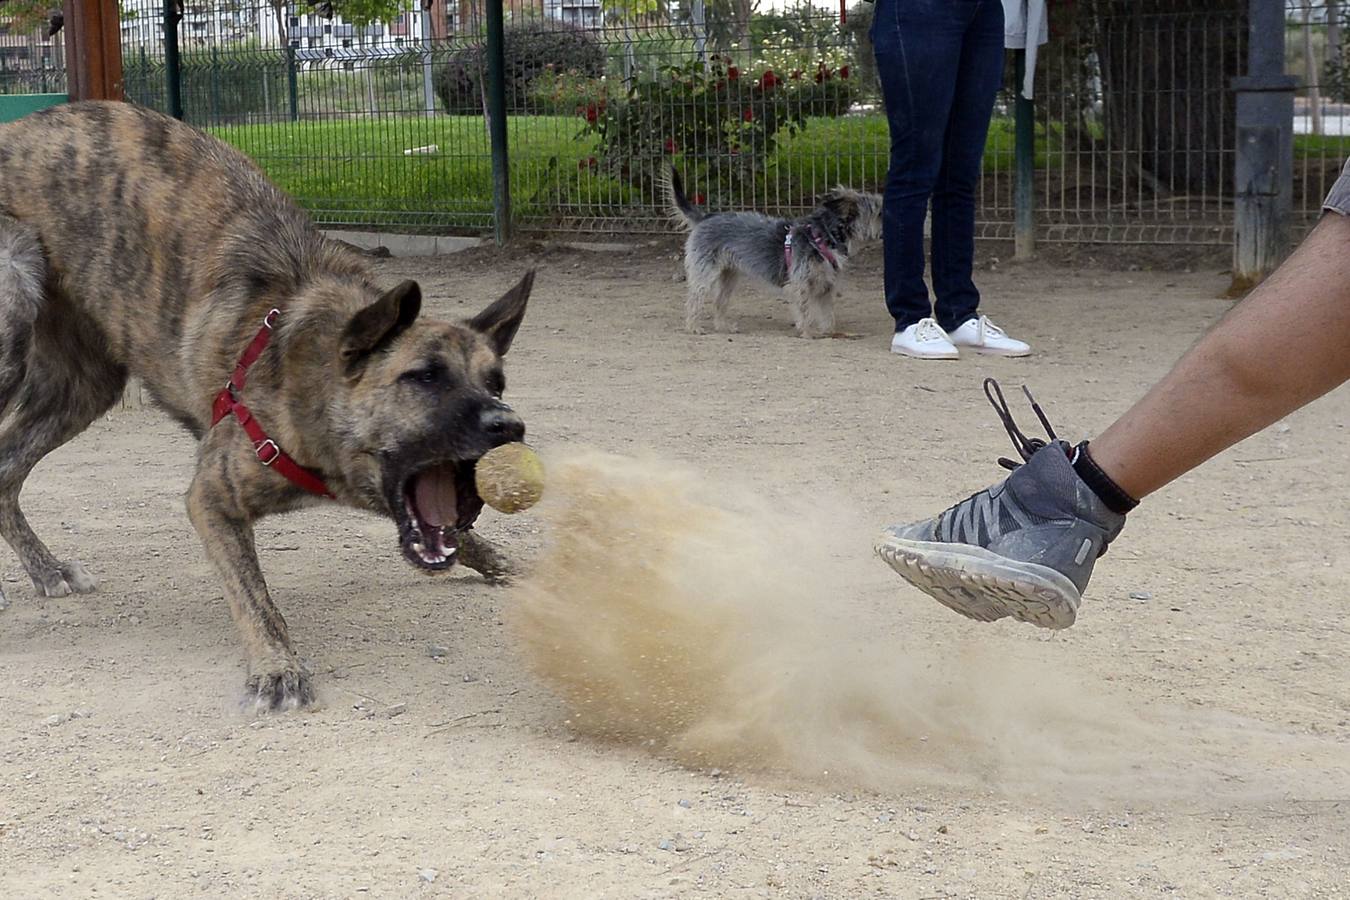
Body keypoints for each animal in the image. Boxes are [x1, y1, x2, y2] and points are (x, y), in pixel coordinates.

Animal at [0, 101, 537, 712]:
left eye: (496, 383)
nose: (508, 426)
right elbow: (253, 597)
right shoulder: (212, 497)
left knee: (5, 470)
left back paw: (46, 569)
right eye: (424, 377)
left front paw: (517, 568)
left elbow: (461, 535)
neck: (314, 373)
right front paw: (277, 666)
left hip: (82, 387)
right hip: (13, 305)